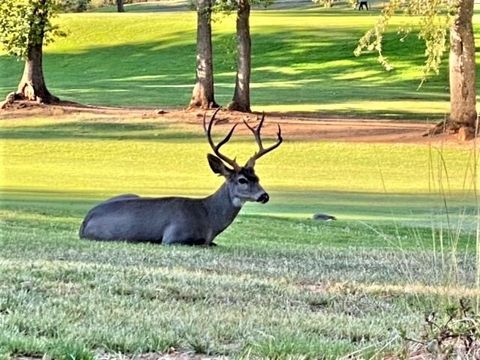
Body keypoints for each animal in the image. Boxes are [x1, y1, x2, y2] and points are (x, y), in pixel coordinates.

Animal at [78, 109, 282, 245]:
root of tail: (85, 222)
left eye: (257, 177)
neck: (209, 219)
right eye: (242, 180)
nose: (264, 196)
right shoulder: (173, 236)